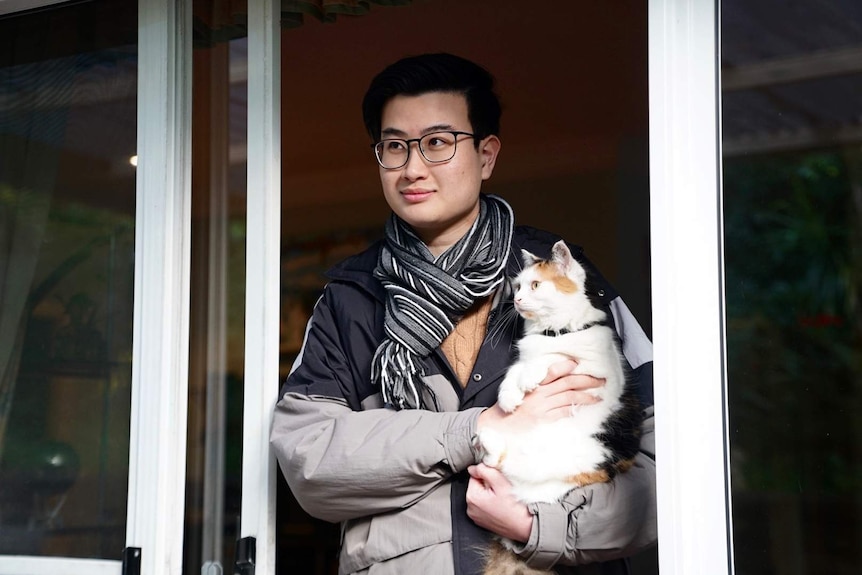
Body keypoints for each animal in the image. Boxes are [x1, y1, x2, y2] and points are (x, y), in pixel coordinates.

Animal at [476, 240, 644, 575]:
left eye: (535, 285)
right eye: (517, 286)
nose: (517, 299)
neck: (553, 331)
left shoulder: (597, 373)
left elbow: (554, 358)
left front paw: (530, 378)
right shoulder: (526, 356)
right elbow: (516, 369)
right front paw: (508, 397)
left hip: (572, 459)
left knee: (508, 466)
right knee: (498, 463)